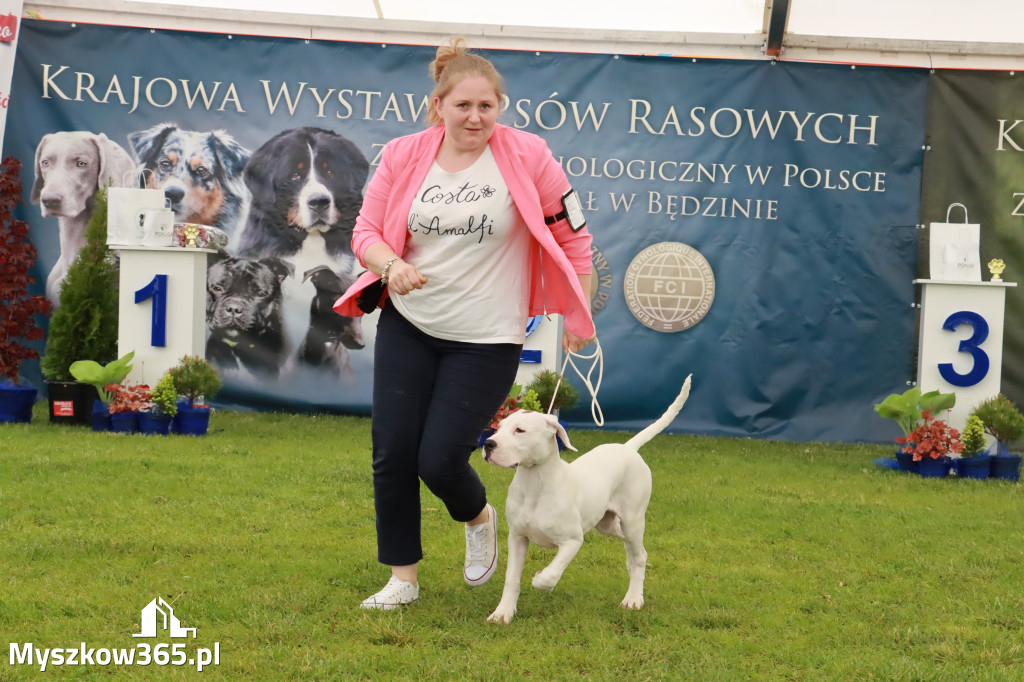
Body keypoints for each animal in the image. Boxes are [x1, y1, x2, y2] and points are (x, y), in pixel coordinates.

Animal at [481, 374, 692, 622]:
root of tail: (628, 448)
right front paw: (503, 613)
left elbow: (551, 574)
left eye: (520, 430)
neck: (535, 486)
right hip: (607, 524)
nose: (488, 444)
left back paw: (633, 599)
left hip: (632, 520)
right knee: (635, 551)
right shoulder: (517, 537)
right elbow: (511, 578)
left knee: (639, 555)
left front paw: (540, 578)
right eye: (499, 427)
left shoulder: (573, 540)